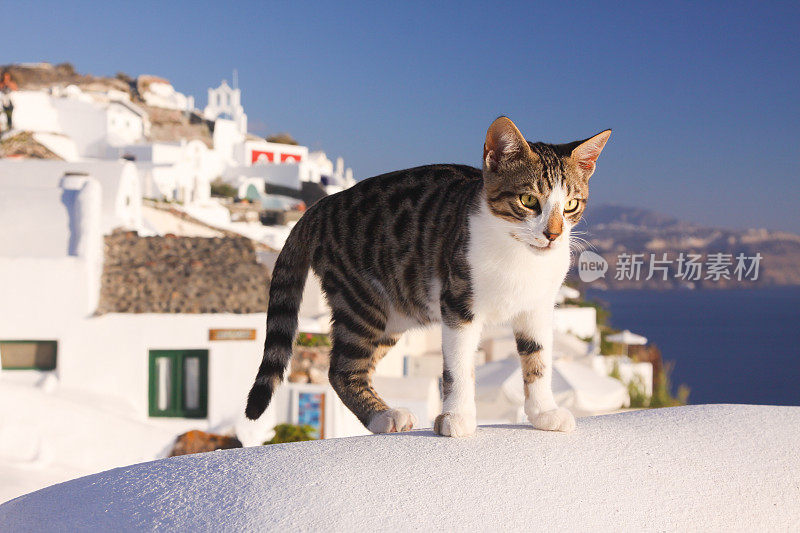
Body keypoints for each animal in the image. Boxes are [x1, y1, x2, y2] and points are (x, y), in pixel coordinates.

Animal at [247, 117, 608, 436]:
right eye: (529, 200)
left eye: (571, 204)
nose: (553, 235)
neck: (519, 255)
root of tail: (323, 205)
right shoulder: (458, 303)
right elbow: (459, 365)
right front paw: (458, 416)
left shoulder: (537, 308)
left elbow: (539, 358)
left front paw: (543, 412)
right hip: (362, 298)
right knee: (340, 369)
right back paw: (382, 416)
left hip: (394, 312)